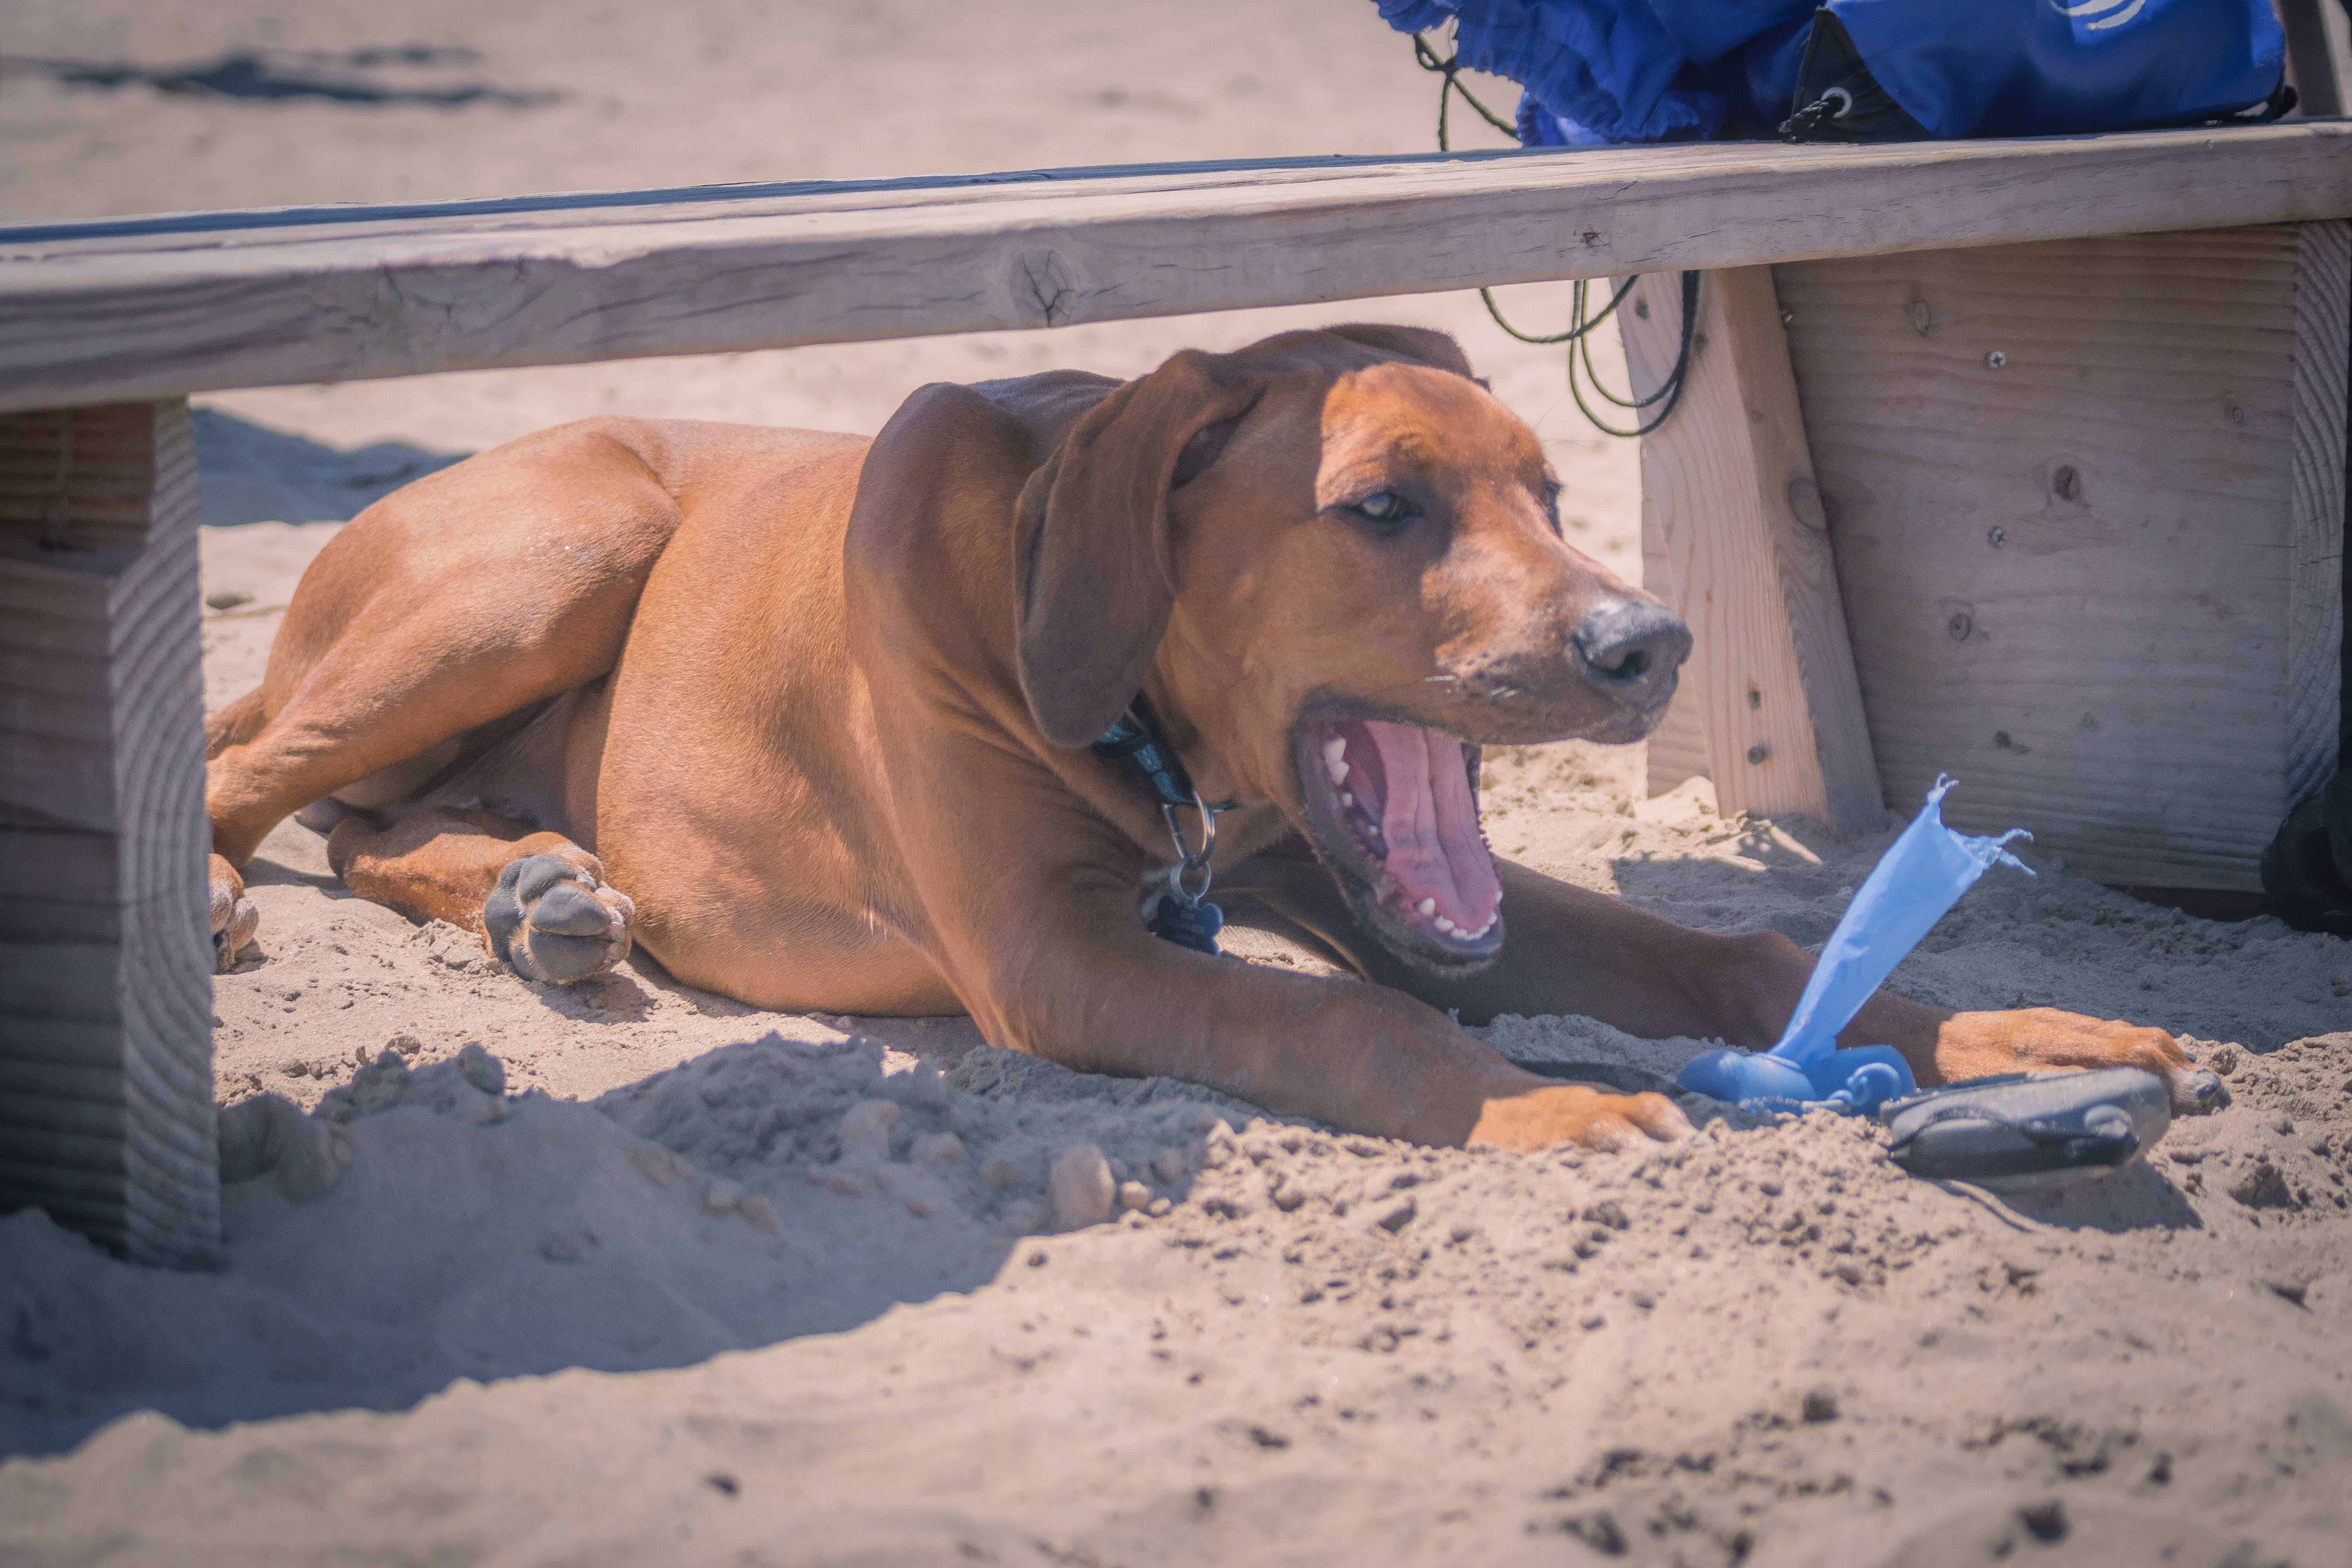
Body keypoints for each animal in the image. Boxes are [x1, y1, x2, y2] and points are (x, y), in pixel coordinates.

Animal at [202, 324, 2220, 1147]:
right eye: (1383, 507)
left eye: (1552, 490)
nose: (1649, 641)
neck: (1164, 753)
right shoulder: (1053, 953)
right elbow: (1337, 1015)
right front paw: (1541, 1096)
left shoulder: (1347, 882)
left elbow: (1721, 950)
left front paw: (2008, 1028)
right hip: (561, 548)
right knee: (252, 784)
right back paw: (233, 907)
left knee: (373, 826)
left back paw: (541, 888)